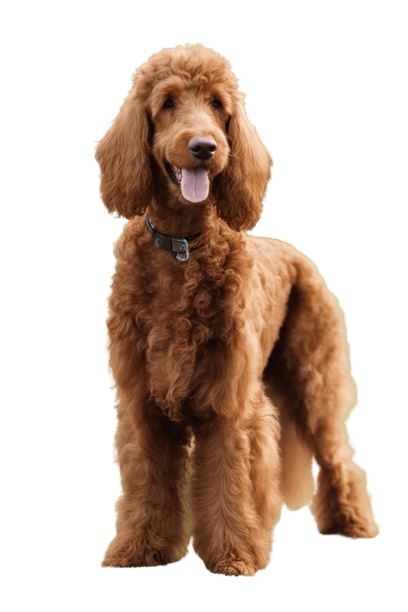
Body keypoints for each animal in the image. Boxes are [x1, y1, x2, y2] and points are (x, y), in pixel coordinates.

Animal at [92, 40, 380, 576]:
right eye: (167, 103)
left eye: (218, 105)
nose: (204, 146)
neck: (183, 246)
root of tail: (297, 252)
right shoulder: (141, 403)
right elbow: (146, 481)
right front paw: (139, 550)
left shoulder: (229, 403)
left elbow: (231, 484)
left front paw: (234, 555)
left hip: (314, 382)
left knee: (338, 454)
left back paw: (352, 524)